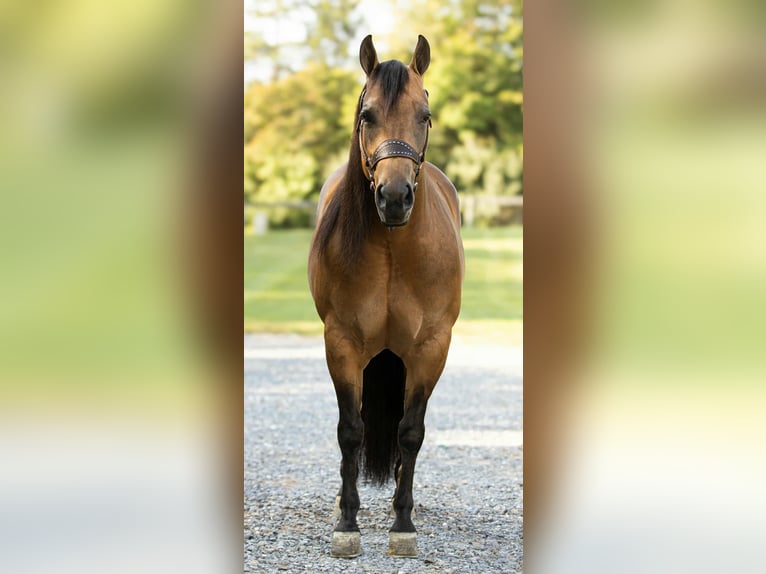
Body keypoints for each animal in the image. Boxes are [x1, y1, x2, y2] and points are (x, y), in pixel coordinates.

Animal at [308, 34, 464, 558]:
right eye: (367, 115)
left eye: (424, 115)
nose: (393, 198)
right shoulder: (341, 344)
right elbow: (351, 431)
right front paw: (347, 523)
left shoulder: (430, 348)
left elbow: (410, 432)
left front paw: (403, 524)